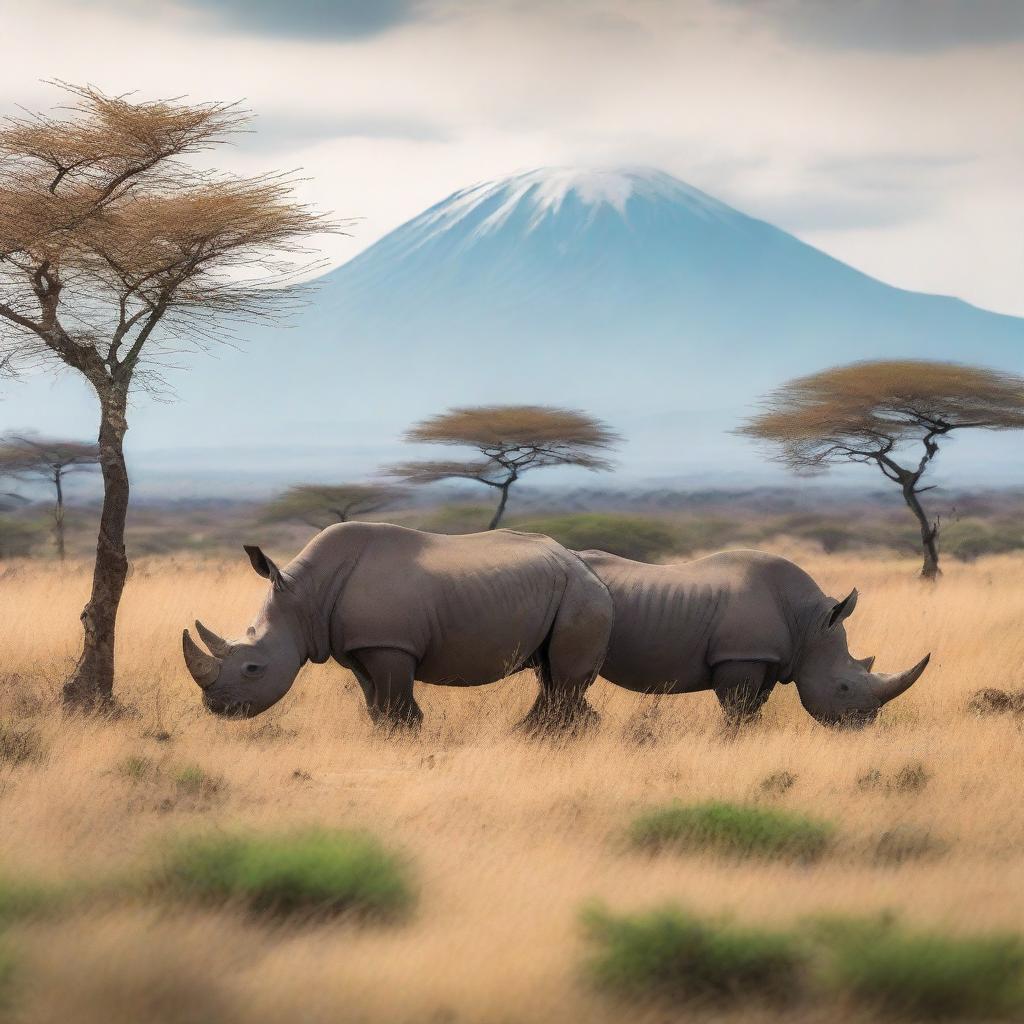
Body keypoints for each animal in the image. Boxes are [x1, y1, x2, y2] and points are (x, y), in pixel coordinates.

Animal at [181, 524, 610, 733]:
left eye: (253, 668)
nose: (216, 708)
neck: (304, 598)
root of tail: (582, 564)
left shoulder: (390, 645)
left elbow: (395, 702)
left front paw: (407, 738)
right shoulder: (358, 648)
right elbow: (376, 703)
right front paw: (387, 737)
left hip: (581, 595)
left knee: (562, 679)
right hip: (568, 591)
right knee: (550, 675)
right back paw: (532, 736)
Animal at [577, 548, 929, 724]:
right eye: (843, 687)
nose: (864, 725)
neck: (807, 624)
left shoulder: (769, 659)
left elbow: (753, 709)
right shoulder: (740, 656)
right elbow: (737, 709)